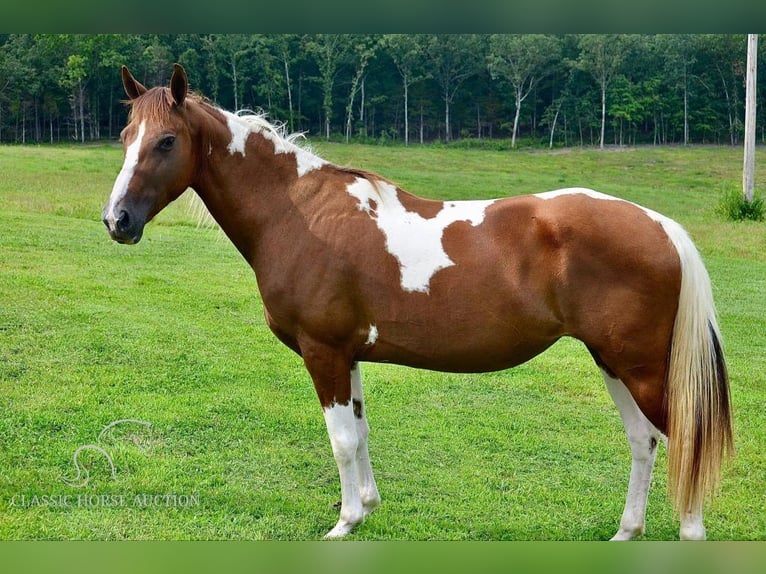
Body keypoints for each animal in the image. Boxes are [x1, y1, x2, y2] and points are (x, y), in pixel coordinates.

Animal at [102, 65, 732, 544]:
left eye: (166, 141)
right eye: (125, 137)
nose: (117, 221)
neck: (299, 214)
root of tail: (661, 225)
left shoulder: (323, 352)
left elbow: (341, 440)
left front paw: (345, 522)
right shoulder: (348, 354)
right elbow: (360, 432)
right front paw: (366, 508)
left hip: (642, 368)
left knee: (684, 439)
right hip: (613, 362)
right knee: (643, 441)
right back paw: (625, 533)